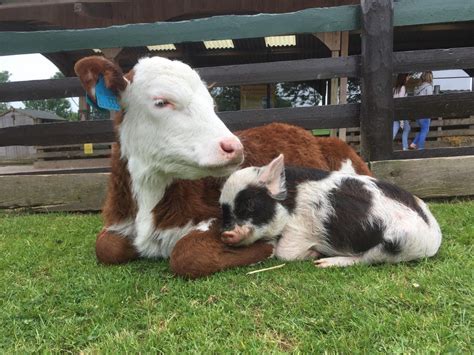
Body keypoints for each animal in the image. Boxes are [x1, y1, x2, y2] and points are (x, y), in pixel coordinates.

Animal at [74, 55, 372, 280]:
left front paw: (265, 245)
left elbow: (188, 254)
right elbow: (105, 247)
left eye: (212, 104)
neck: (148, 198)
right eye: (161, 101)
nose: (234, 147)